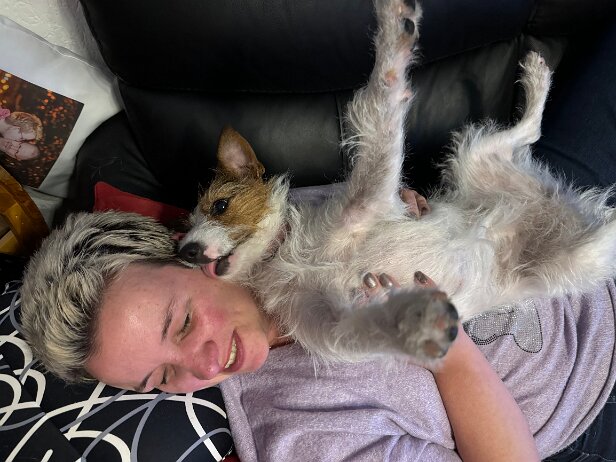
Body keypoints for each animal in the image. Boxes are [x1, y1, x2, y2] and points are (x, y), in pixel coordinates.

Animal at [179, 0, 616, 366]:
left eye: (220, 205)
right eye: (181, 234)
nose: (185, 251)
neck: (283, 253)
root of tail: (553, 202)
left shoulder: (366, 201)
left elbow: (382, 109)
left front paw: (392, 34)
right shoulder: (334, 323)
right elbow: (363, 325)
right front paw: (416, 323)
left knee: (532, 135)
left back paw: (537, 78)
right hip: (503, 187)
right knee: (534, 137)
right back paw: (539, 81)